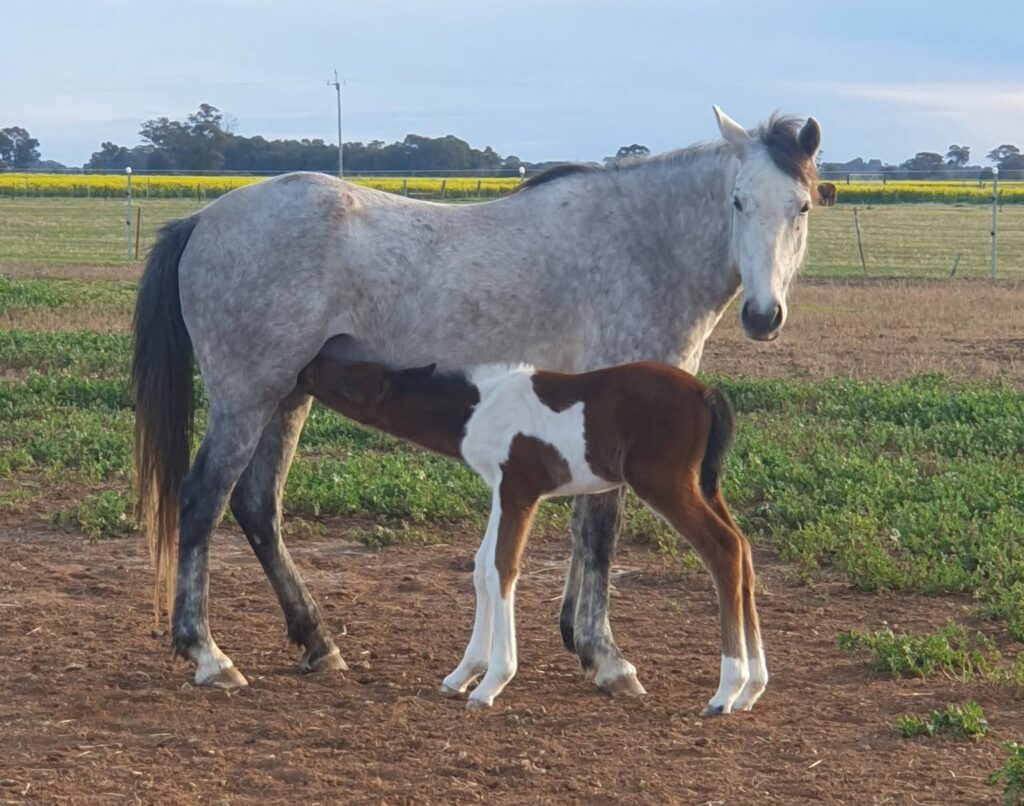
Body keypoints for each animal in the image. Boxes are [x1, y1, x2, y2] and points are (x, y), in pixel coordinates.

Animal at [298, 356, 762, 714]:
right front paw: (462, 674)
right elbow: (481, 568)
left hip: (664, 483)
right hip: (705, 486)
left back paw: (725, 692)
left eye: (351, 377)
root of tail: (707, 393)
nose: (306, 368)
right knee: (743, 549)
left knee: (722, 550)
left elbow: (502, 568)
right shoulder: (499, 489)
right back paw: (752, 688)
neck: (478, 408)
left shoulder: (519, 489)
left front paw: (491, 683)